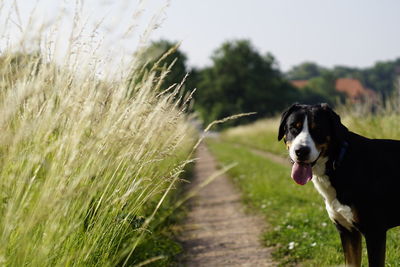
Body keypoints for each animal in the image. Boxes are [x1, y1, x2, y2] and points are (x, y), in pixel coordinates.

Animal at [278, 104, 400, 267]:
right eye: (293, 128)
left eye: (318, 129)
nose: (301, 151)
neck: (339, 162)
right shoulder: (347, 231)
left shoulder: (375, 232)